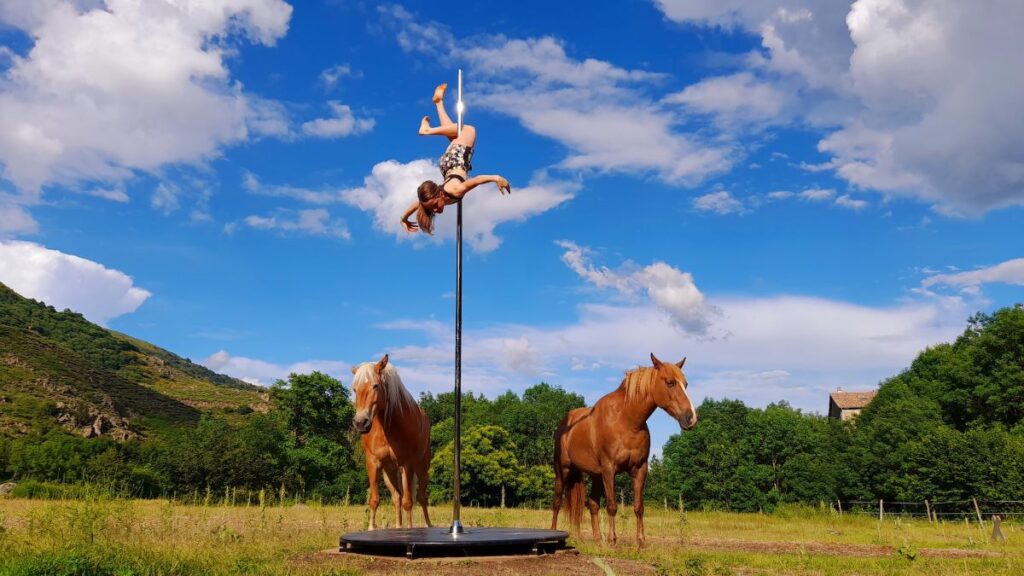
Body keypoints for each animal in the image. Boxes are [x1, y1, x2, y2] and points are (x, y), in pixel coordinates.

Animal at [352, 352, 432, 528]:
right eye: (354, 389)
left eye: (375, 386)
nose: (361, 423)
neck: (388, 428)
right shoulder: (373, 464)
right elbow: (375, 501)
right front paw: (371, 528)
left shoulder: (407, 464)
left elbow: (408, 503)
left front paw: (409, 529)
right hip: (389, 472)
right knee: (397, 498)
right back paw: (398, 526)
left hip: (421, 467)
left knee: (421, 498)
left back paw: (428, 525)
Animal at [552, 352, 696, 545]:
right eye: (670, 382)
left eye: (686, 384)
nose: (691, 418)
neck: (626, 422)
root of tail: (565, 424)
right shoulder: (609, 469)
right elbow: (612, 506)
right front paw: (613, 540)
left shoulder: (640, 469)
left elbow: (639, 507)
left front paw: (641, 540)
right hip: (563, 470)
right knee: (557, 501)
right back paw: (554, 532)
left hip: (595, 475)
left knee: (592, 503)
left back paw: (598, 539)